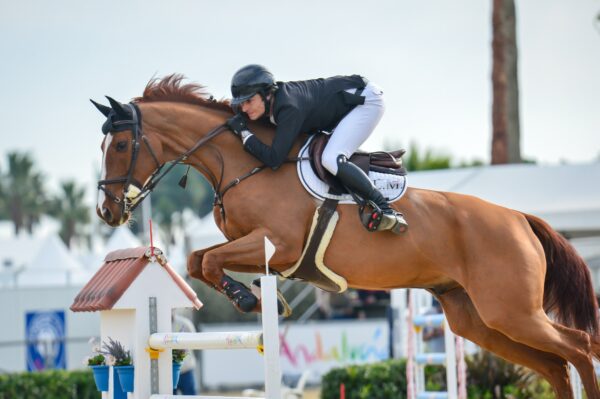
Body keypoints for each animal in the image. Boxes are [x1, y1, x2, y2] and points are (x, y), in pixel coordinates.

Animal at [92, 74, 600, 396]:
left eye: (121, 145)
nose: (108, 211)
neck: (242, 162)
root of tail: (518, 218)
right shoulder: (263, 251)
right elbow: (199, 260)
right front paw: (254, 297)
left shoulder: (280, 245)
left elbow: (209, 260)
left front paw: (248, 298)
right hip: (478, 319)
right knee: (557, 364)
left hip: (512, 311)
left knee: (577, 347)